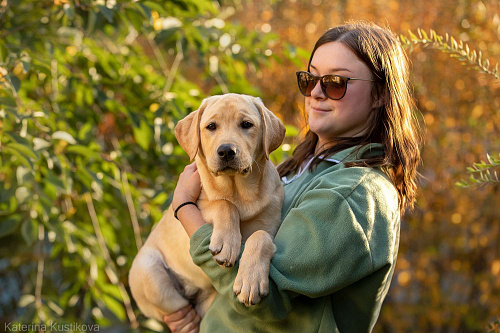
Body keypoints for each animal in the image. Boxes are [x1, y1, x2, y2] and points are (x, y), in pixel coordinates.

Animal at [128, 92, 286, 320]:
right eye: (211, 126)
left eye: (247, 124)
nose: (227, 151)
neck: (238, 191)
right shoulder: (201, 203)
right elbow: (224, 204)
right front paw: (227, 243)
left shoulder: (269, 224)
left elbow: (260, 236)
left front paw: (251, 280)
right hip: (150, 275)